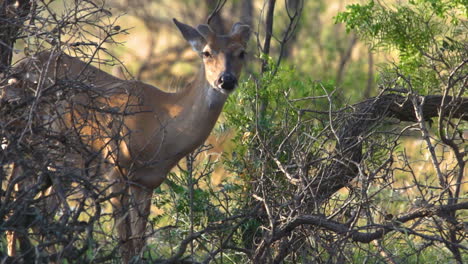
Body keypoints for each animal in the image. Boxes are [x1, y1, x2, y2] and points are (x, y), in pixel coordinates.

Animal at [1, 18, 250, 262]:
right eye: (206, 52)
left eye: (242, 52)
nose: (226, 80)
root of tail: (15, 71)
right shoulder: (116, 166)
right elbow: (124, 244)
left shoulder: (147, 182)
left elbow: (138, 243)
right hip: (31, 143)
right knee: (21, 209)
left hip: (58, 161)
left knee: (35, 213)